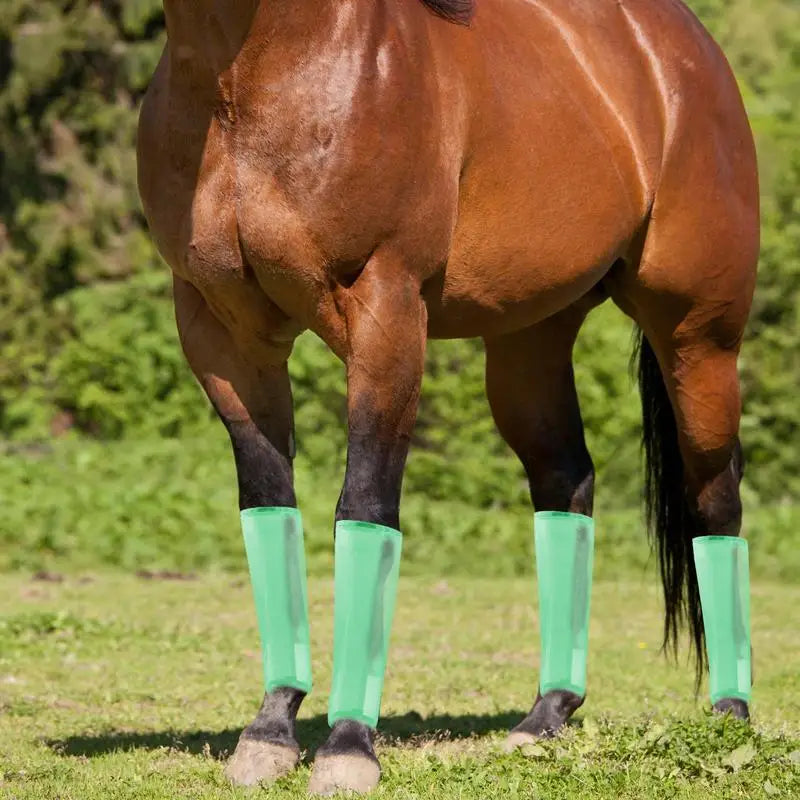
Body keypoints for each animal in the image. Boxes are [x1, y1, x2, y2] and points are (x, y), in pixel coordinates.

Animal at [137, 0, 758, 793]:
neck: (247, 80)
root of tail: (688, 50)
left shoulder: (386, 312)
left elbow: (365, 506)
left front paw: (347, 746)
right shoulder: (221, 333)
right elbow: (268, 503)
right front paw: (270, 731)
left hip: (698, 339)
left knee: (716, 499)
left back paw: (730, 719)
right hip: (530, 343)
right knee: (567, 482)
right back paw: (546, 716)